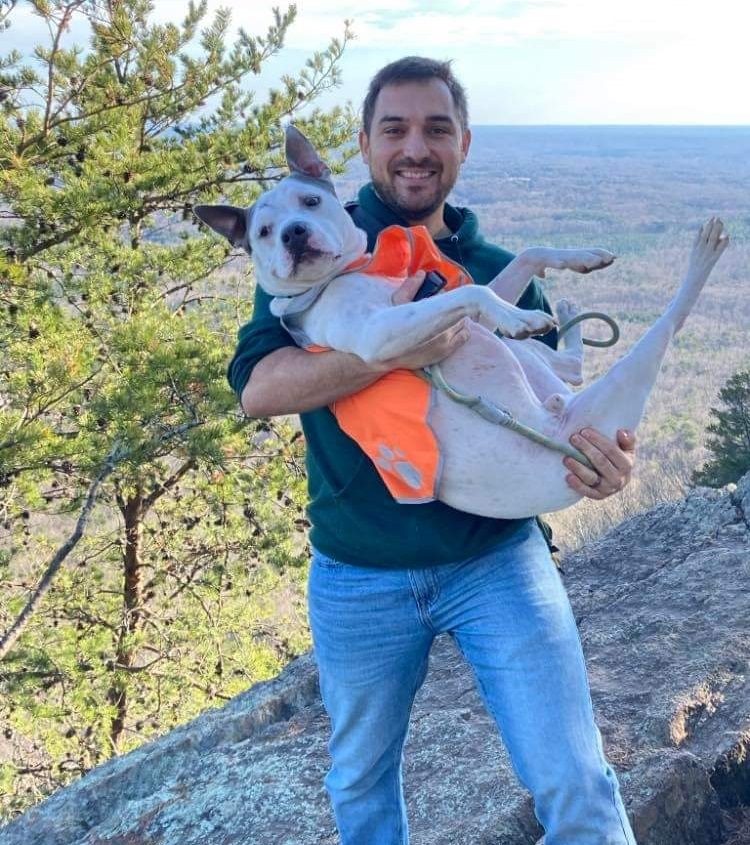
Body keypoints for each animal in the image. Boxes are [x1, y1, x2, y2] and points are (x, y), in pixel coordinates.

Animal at [192, 128, 728, 516]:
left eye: (310, 202)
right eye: (263, 232)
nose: (294, 234)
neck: (351, 271)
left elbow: (527, 255)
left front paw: (582, 256)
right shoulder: (378, 335)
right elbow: (476, 292)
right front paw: (513, 313)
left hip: (539, 365)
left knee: (570, 364)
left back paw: (566, 314)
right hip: (615, 391)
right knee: (671, 319)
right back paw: (704, 250)